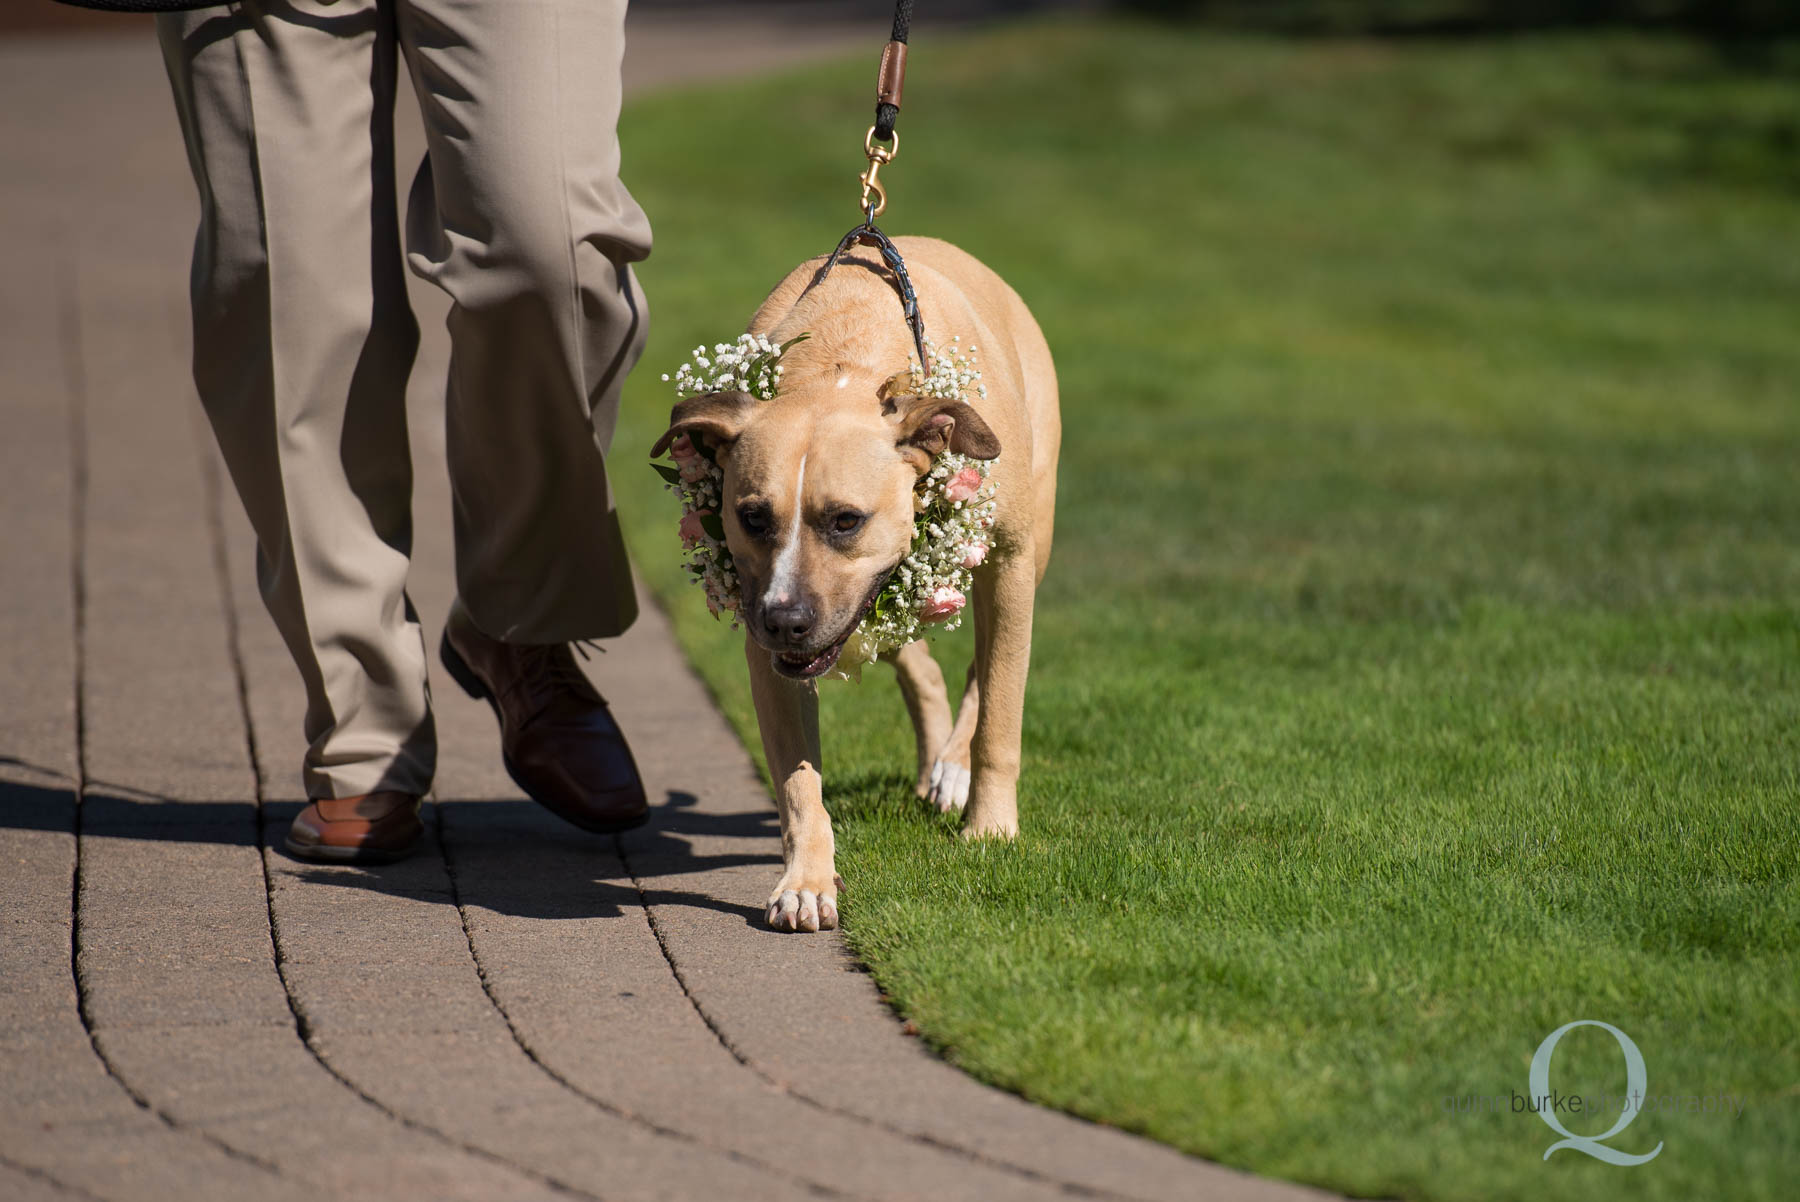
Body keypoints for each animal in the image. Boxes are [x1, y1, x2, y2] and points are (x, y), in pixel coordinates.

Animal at [651, 233, 1051, 928]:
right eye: (751, 517)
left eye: (845, 520)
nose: (784, 620)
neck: (844, 362)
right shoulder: (767, 643)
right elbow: (796, 779)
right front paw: (806, 882)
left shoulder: (1012, 560)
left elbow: (1001, 707)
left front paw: (991, 829)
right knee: (915, 662)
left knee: (984, 670)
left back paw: (952, 770)